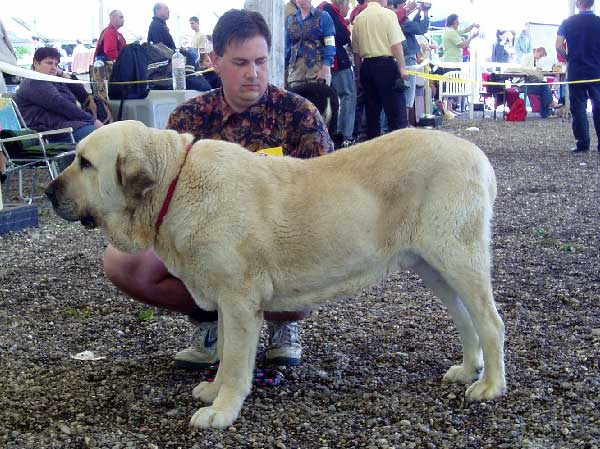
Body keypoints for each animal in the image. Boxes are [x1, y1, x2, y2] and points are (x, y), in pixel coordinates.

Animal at [45, 121, 506, 428]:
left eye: (85, 162)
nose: (48, 193)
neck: (174, 185)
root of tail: (478, 156)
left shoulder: (238, 300)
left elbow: (235, 362)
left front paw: (221, 410)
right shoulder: (226, 302)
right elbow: (225, 350)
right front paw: (213, 391)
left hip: (458, 258)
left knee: (489, 322)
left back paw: (490, 387)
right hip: (433, 268)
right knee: (465, 320)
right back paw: (468, 370)